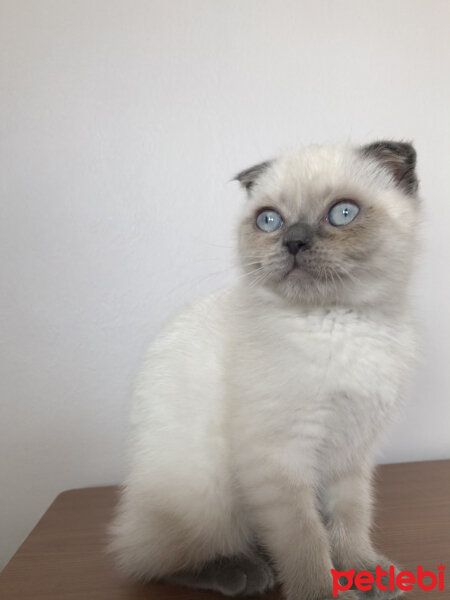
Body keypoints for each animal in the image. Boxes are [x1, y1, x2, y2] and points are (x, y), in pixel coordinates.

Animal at [110, 142, 420, 600]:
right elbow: (307, 540)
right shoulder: (280, 459)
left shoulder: (352, 452)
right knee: (152, 559)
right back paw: (244, 573)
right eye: (269, 220)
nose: (293, 241)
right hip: (207, 492)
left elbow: (349, 522)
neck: (339, 324)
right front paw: (322, 592)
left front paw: (365, 574)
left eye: (342, 213)